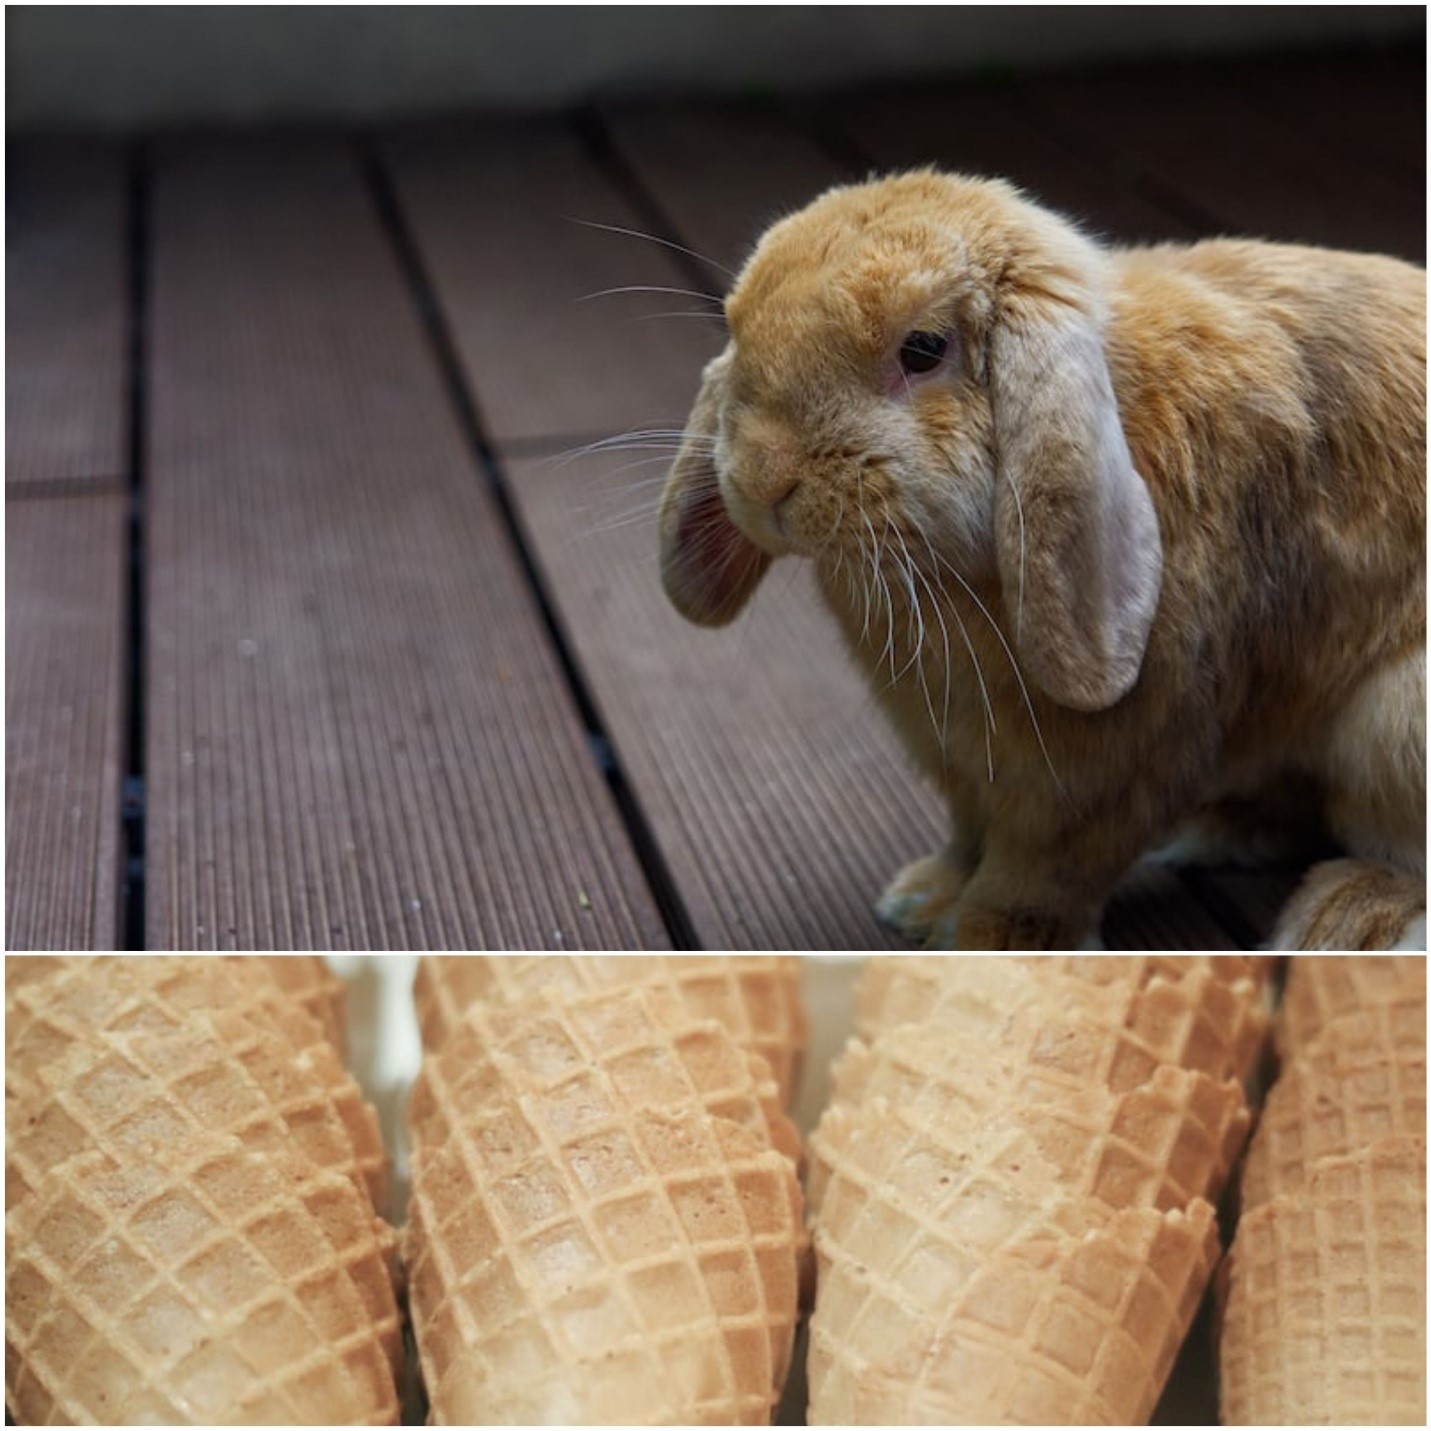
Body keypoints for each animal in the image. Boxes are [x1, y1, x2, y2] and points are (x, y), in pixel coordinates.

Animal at [657, 169, 1426, 950]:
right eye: (738, 328)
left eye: (923, 349)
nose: (761, 480)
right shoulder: (956, 755)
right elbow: (969, 833)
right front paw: (921, 899)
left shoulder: (1108, 766)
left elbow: (1045, 867)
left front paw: (987, 942)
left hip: (1394, 723)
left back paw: (1344, 918)